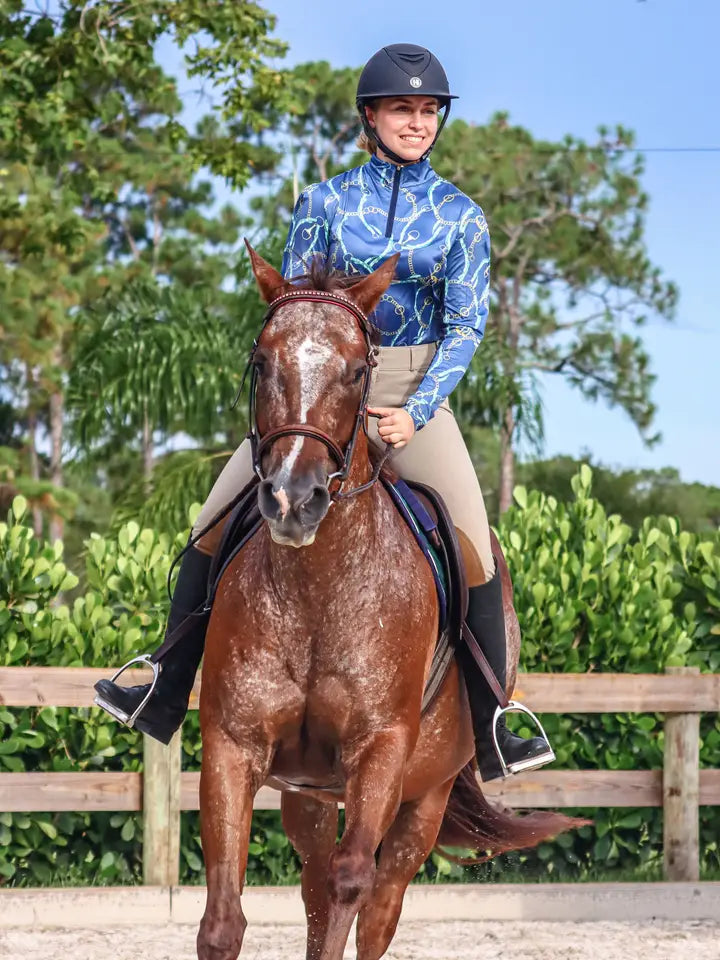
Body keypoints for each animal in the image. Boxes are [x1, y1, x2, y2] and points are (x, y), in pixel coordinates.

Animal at [197, 248, 584, 960]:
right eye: (262, 363)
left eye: (357, 371)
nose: (293, 499)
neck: (319, 591)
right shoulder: (234, 745)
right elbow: (223, 919)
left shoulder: (381, 751)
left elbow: (353, 883)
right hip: (309, 793)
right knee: (316, 885)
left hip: (424, 797)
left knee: (378, 901)